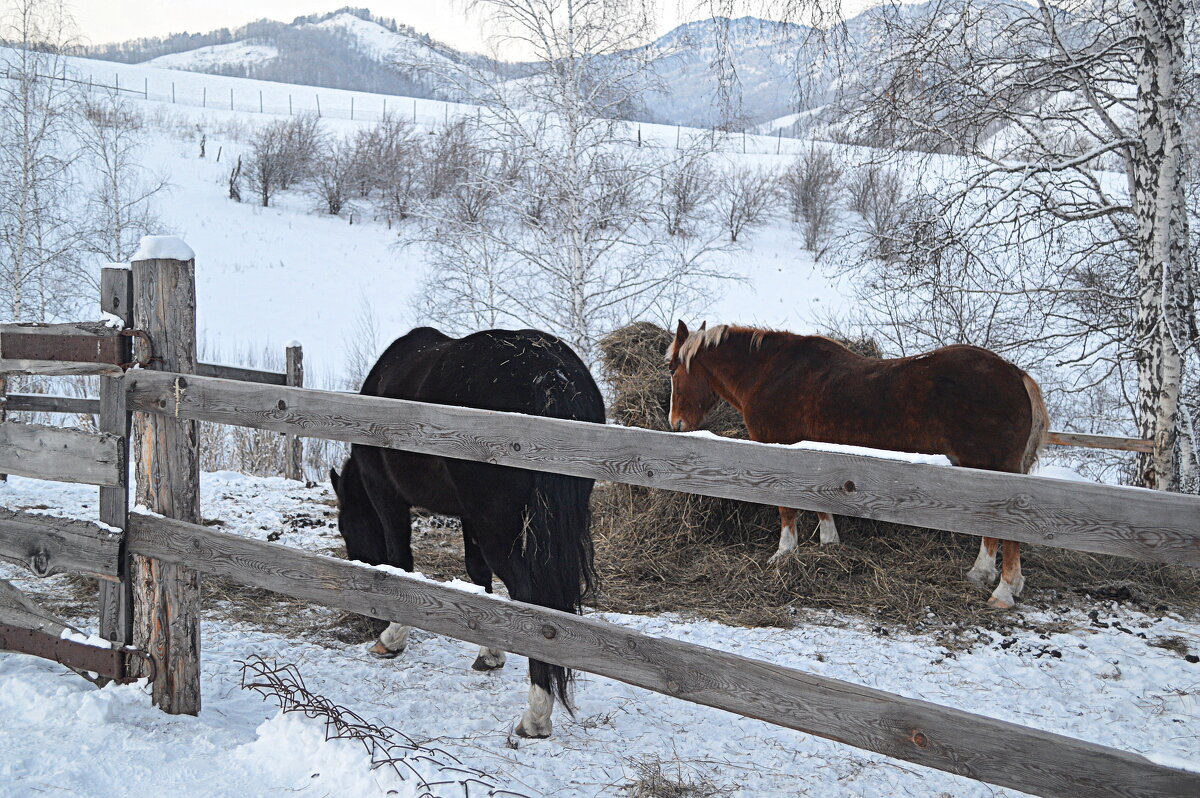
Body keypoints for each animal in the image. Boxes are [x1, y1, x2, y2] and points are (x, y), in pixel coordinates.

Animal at [328, 326, 604, 739]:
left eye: (346, 528)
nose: (367, 620)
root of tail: (551, 375)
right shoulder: (469, 517)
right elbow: (478, 574)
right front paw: (488, 653)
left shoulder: (387, 495)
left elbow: (400, 562)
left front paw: (391, 638)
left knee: (536, 605)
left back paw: (536, 715)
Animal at [667, 321, 1051, 607]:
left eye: (672, 369)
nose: (676, 423)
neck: (770, 372)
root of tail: (1015, 375)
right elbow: (817, 502)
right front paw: (829, 544)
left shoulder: (780, 451)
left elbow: (787, 508)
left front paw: (783, 553)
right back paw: (982, 574)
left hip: (997, 471)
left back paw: (1003, 590)